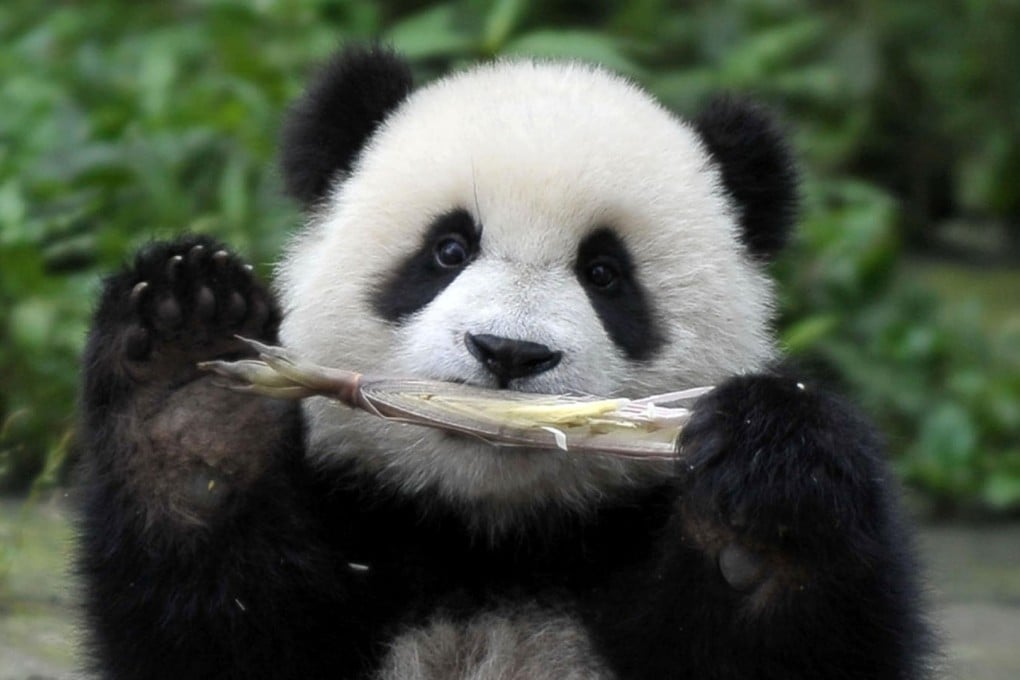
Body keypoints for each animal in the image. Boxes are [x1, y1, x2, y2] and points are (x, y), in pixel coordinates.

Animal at [78, 46, 930, 679]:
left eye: (605, 274)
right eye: (448, 249)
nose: (510, 353)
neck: (492, 539)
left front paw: (756, 516)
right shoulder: (360, 529)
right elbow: (218, 626)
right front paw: (193, 393)